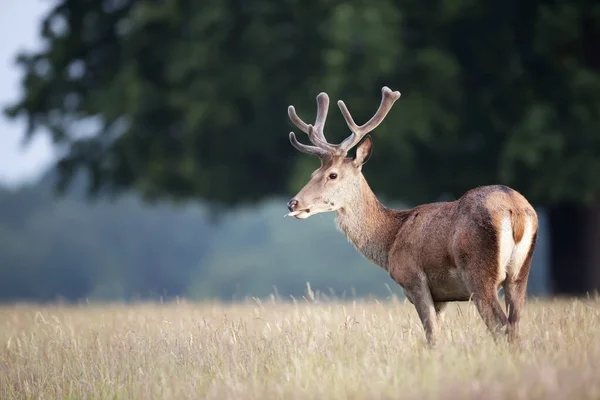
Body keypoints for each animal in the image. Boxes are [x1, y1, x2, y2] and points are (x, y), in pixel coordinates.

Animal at [284, 86, 540, 344]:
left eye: (333, 175)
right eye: (314, 173)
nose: (293, 203)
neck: (390, 240)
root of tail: (516, 211)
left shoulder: (414, 280)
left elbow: (431, 336)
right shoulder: (442, 296)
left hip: (478, 272)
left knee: (500, 326)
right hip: (520, 273)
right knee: (515, 325)